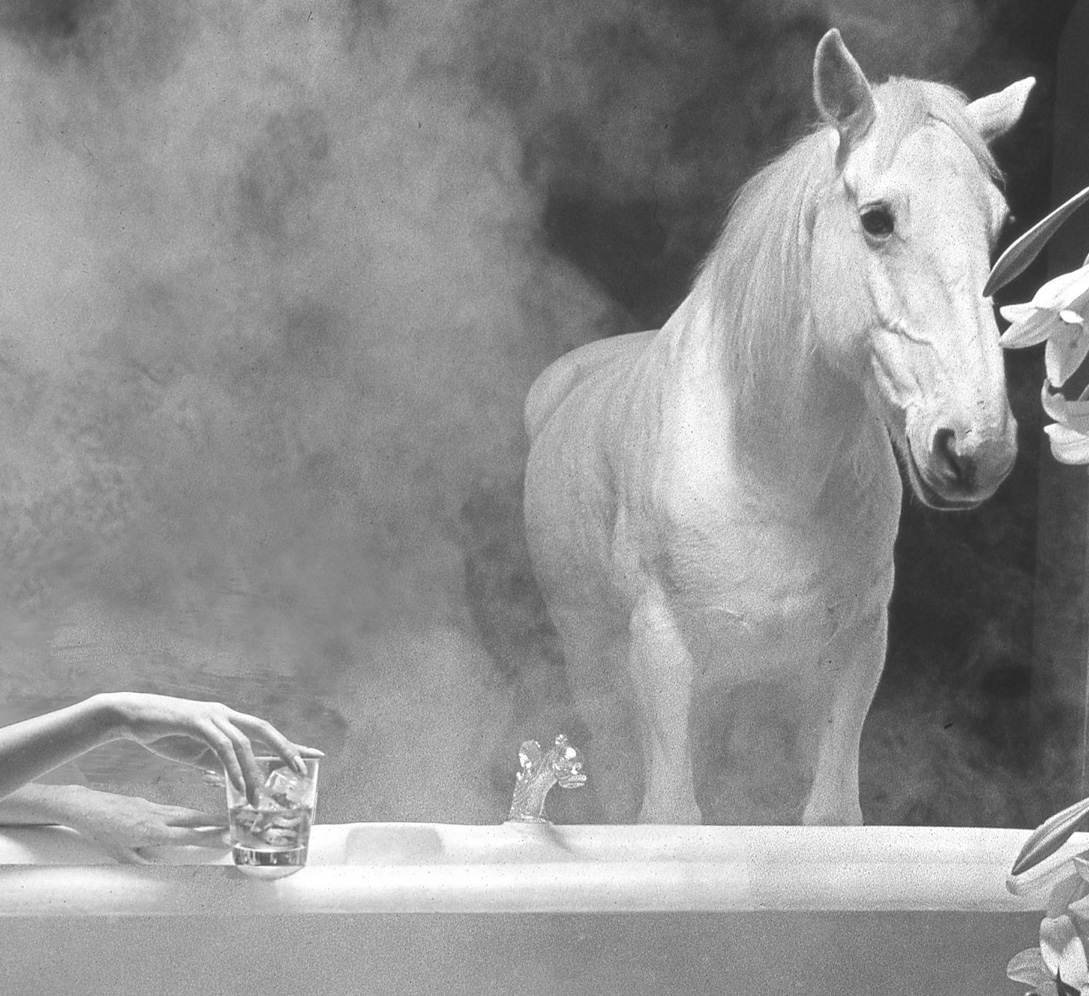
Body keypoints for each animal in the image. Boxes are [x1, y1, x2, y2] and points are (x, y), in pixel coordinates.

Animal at [522, 30, 1033, 826]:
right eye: (876, 218)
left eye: (999, 227)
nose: (977, 447)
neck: (768, 474)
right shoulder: (660, 652)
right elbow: (670, 816)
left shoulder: (854, 654)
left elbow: (826, 817)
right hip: (596, 672)